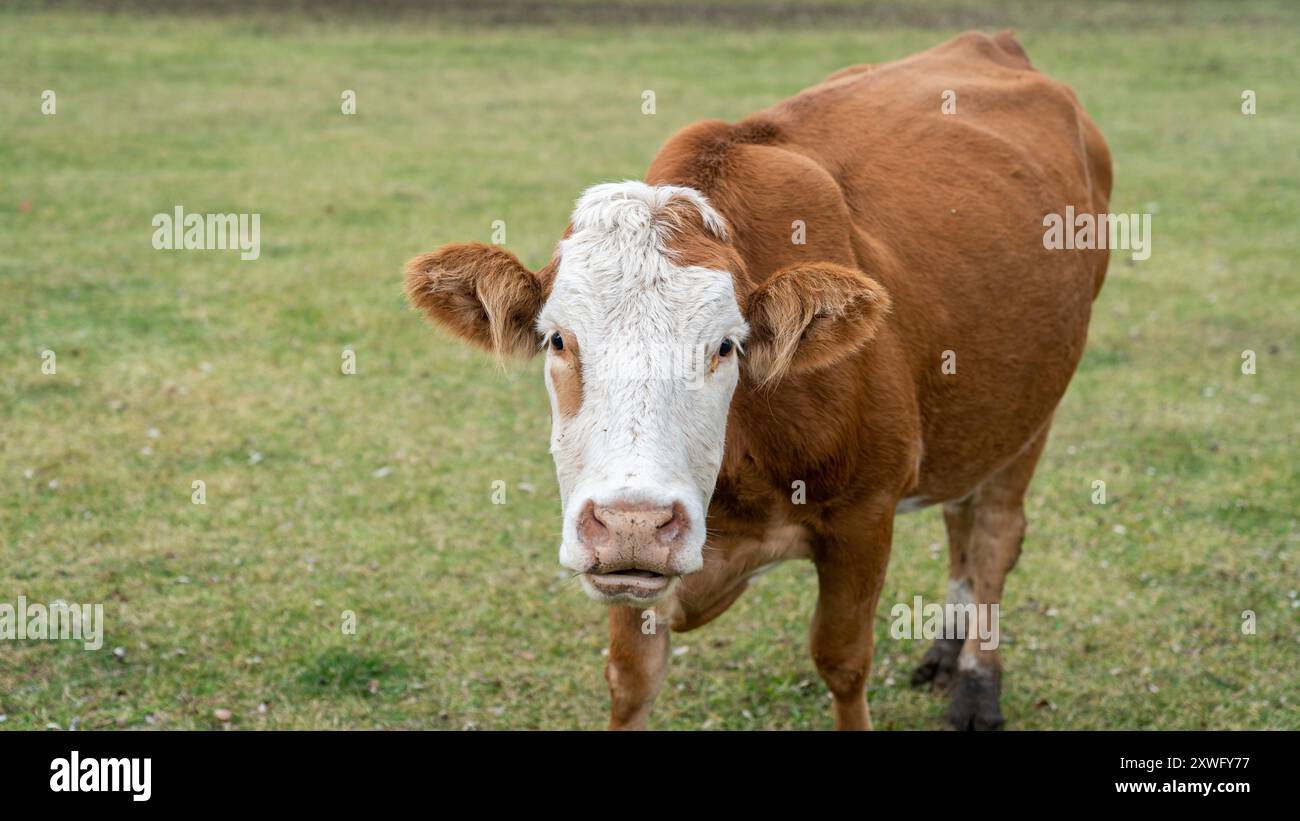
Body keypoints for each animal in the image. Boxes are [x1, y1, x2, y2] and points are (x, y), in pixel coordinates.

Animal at [405, 30, 1112, 730]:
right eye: (557, 339)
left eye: (726, 345)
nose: (633, 523)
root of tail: (989, 40)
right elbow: (631, 677)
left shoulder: (865, 514)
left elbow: (842, 661)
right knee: (962, 516)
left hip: (1035, 406)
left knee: (994, 532)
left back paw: (977, 685)